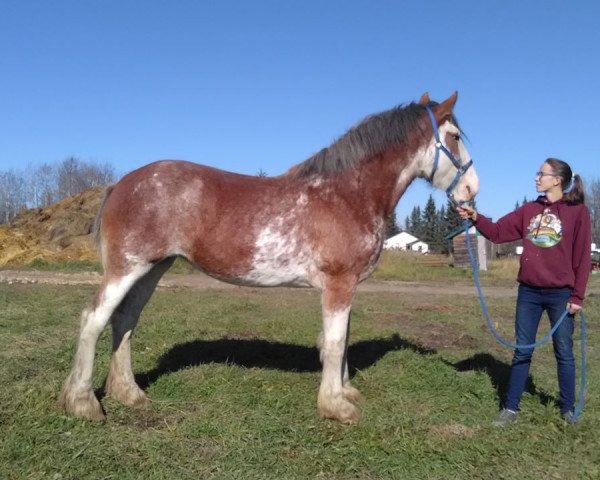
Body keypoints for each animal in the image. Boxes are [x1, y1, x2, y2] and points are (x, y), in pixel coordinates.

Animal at [56, 91, 478, 424]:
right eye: (455, 137)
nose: (472, 190)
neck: (345, 195)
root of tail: (121, 183)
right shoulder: (339, 284)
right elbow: (335, 341)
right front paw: (337, 406)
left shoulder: (346, 287)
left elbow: (340, 338)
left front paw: (345, 391)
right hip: (127, 268)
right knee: (94, 319)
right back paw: (83, 403)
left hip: (152, 269)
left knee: (125, 321)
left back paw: (130, 394)